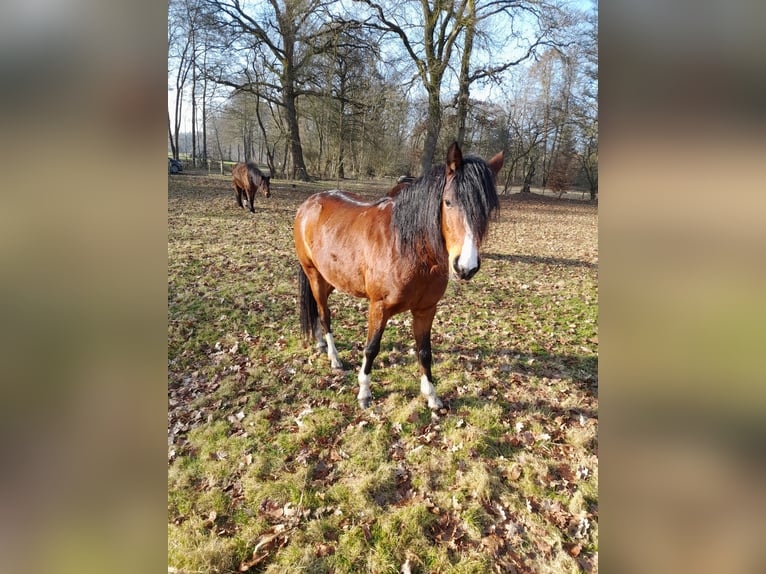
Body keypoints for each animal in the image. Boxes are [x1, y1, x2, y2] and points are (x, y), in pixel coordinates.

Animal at [294, 142, 503, 409]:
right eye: (448, 202)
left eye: (487, 209)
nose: (466, 267)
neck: (409, 249)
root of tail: (309, 203)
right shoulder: (378, 307)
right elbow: (371, 348)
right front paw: (364, 393)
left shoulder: (426, 310)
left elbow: (425, 351)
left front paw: (431, 396)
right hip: (314, 275)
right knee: (324, 313)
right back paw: (334, 358)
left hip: (330, 278)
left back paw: (320, 343)